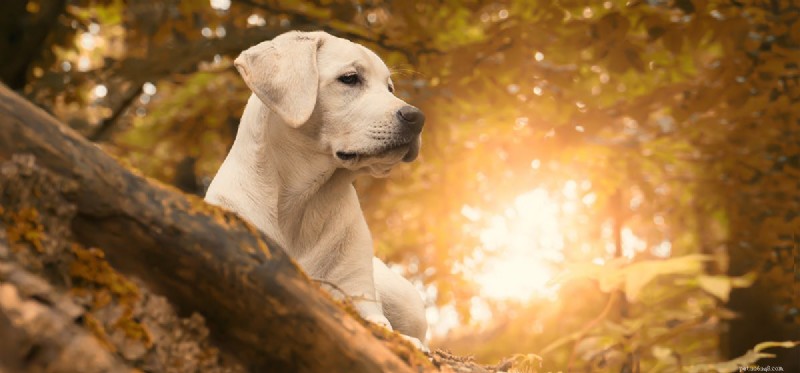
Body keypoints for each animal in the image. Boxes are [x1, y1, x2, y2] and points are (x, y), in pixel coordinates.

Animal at [206, 30, 432, 348]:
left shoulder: (357, 292)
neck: (303, 200)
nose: (417, 118)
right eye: (350, 78)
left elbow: (380, 323)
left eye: (389, 87)